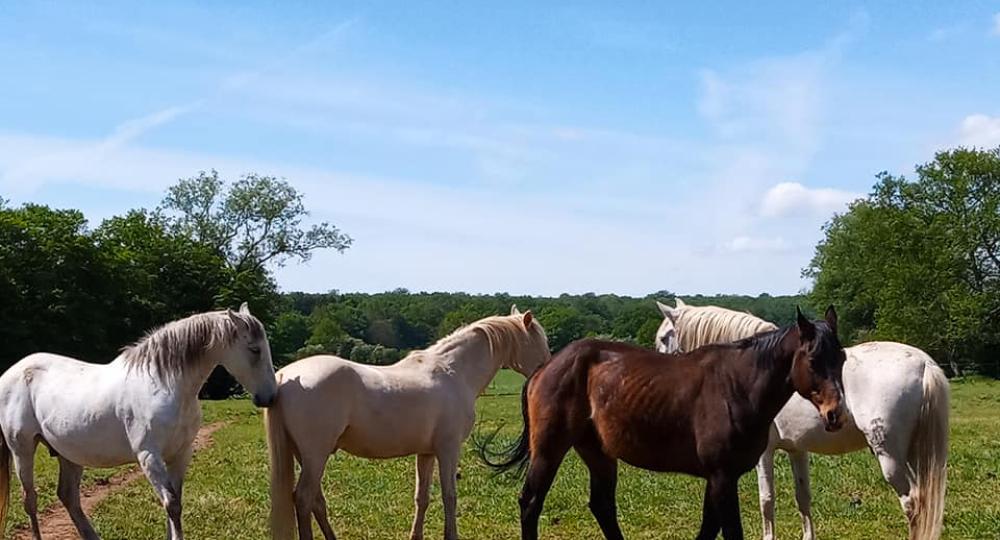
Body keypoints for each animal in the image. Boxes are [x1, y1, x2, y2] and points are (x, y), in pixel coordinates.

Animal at [0, 304, 278, 540]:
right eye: (254, 349)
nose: (269, 397)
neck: (164, 383)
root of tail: (10, 374)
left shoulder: (181, 454)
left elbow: (175, 503)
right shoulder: (149, 455)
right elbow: (171, 504)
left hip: (69, 454)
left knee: (68, 497)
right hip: (22, 449)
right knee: (30, 500)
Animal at [262, 306, 552, 540]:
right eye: (540, 340)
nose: (548, 369)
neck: (454, 371)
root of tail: (286, 377)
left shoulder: (426, 453)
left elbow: (422, 498)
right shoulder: (448, 450)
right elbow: (449, 496)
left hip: (305, 456)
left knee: (315, 501)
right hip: (315, 455)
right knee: (303, 499)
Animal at [480, 308, 848, 540]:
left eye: (842, 357)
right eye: (813, 359)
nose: (836, 414)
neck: (736, 385)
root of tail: (545, 368)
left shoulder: (718, 477)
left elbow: (708, 529)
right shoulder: (722, 476)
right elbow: (729, 532)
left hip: (598, 453)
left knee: (602, 506)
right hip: (549, 449)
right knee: (531, 503)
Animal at [652, 300, 948, 540]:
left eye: (665, 337)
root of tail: (924, 365)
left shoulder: (764, 454)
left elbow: (766, 500)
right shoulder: (797, 449)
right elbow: (803, 498)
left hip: (890, 456)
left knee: (913, 504)